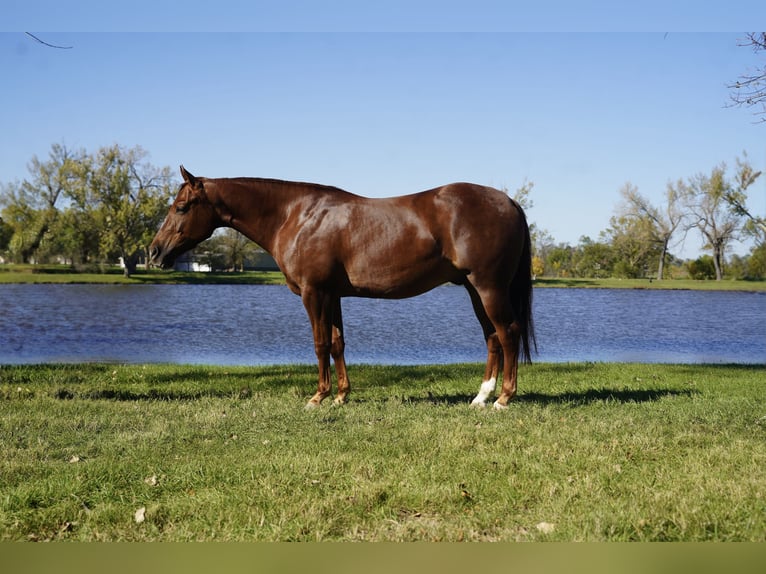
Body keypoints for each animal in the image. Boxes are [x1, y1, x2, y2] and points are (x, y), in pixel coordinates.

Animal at [149, 166, 535, 410]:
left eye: (181, 207)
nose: (154, 251)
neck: (296, 216)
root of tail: (510, 203)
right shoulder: (332, 295)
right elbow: (337, 343)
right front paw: (340, 396)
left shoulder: (314, 292)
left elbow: (320, 344)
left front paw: (317, 397)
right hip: (473, 288)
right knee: (492, 337)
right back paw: (481, 397)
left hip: (488, 287)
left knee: (509, 333)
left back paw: (503, 399)